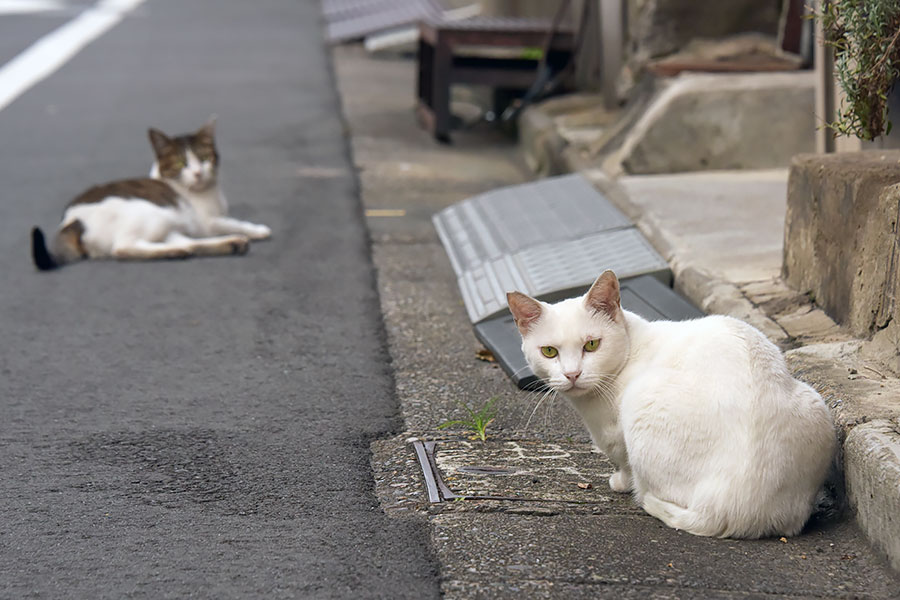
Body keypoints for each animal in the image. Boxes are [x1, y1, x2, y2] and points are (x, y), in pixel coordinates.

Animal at [32, 118, 270, 270]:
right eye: (181, 163)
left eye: (204, 158)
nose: (197, 173)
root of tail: (71, 220)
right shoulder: (207, 222)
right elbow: (232, 221)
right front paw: (258, 230)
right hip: (156, 217)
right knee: (123, 248)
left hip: (170, 226)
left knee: (186, 243)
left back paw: (228, 245)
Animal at [510, 272, 832, 540]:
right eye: (549, 351)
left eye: (592, 345)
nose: (572, 374)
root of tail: (733, 505)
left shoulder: (615, 436)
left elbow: (623, 462)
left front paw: (620, 482)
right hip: (814, 404)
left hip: (640, 398)